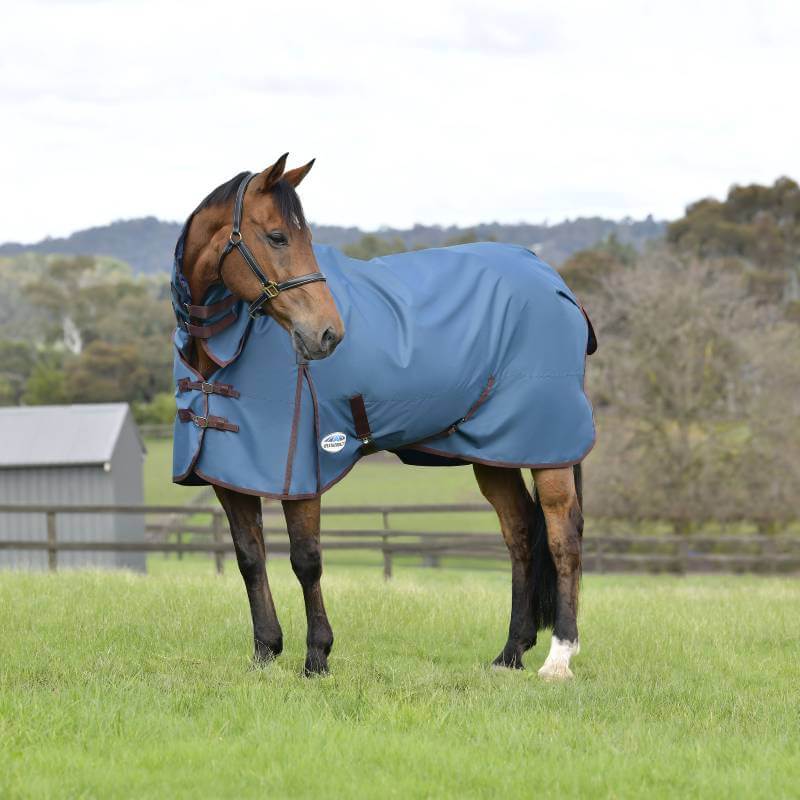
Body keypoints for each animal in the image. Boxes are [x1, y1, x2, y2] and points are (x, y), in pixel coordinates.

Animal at [172, 153, 594, 680]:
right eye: (277, 236)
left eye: (300, 237)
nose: (328, 334)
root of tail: (556, 283)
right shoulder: (230, 474)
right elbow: (250, 559)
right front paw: (265, 653)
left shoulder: (304, 469)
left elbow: (306, 560)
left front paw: (317, 657)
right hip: (495, 454)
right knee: (518, 535)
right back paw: (510, 654)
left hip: (548, 449)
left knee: (562, 539)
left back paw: (559, 658)